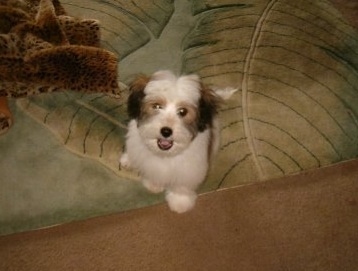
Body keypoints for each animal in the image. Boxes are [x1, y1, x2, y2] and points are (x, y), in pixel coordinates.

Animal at [119, 70, 228, 215]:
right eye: (156, 106)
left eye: (183, 111)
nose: (166, 131)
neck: (166, 154)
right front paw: (154, 184)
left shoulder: (190, 167)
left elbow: (182, 185)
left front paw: (180, 201)